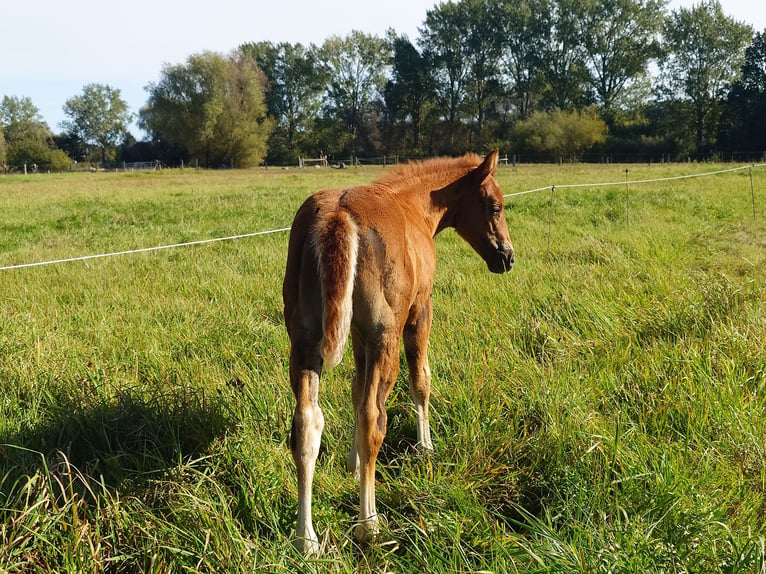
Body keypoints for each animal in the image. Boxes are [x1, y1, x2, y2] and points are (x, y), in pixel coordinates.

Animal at [282, 149, 514, 554]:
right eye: (494, 207)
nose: (507, 257)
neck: (414, 206)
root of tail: (338, 216)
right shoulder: (419, 311)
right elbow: (420, 380)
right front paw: (426, 448)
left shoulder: (357, 333)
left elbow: (356, 391)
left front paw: (352, 465)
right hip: (385, 335)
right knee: (375, 418)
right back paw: (369, 524)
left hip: (306, 340)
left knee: (307, 422)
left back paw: (305, 539)